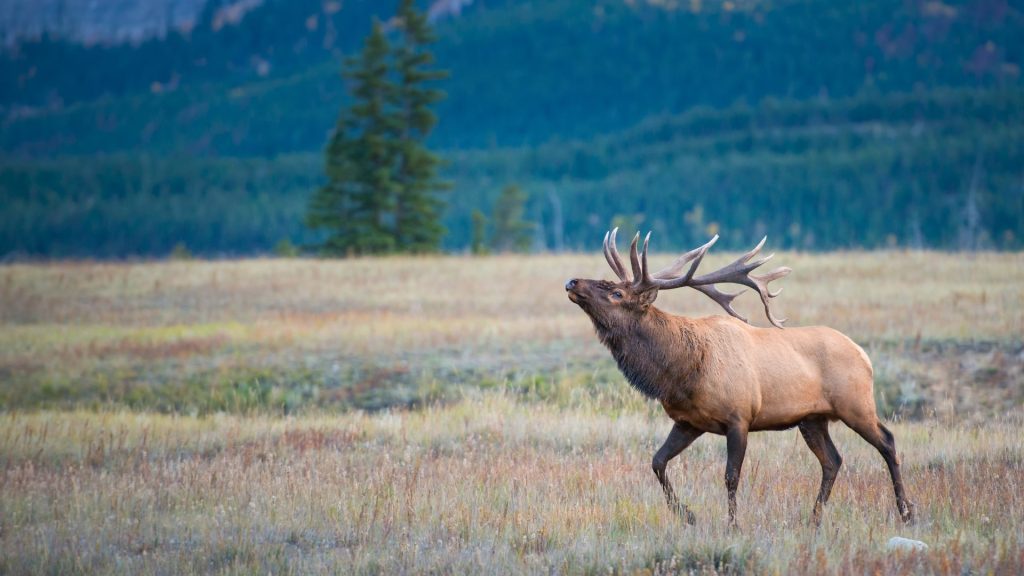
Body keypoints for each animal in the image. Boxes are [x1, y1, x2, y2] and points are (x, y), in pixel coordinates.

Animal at [569, 228, 913, 524]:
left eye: (616, 292)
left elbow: (731, 476)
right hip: (812, 419)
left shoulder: (739, 418)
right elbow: (657, 461)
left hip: (855, 403)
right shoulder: (688, 421)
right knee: (832, 460)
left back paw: (906, 512)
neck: (681, 372)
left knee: (887, 441)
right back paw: (814, 519)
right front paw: (688, 515)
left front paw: (733, 525)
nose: (572, 282)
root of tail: (863, 354)